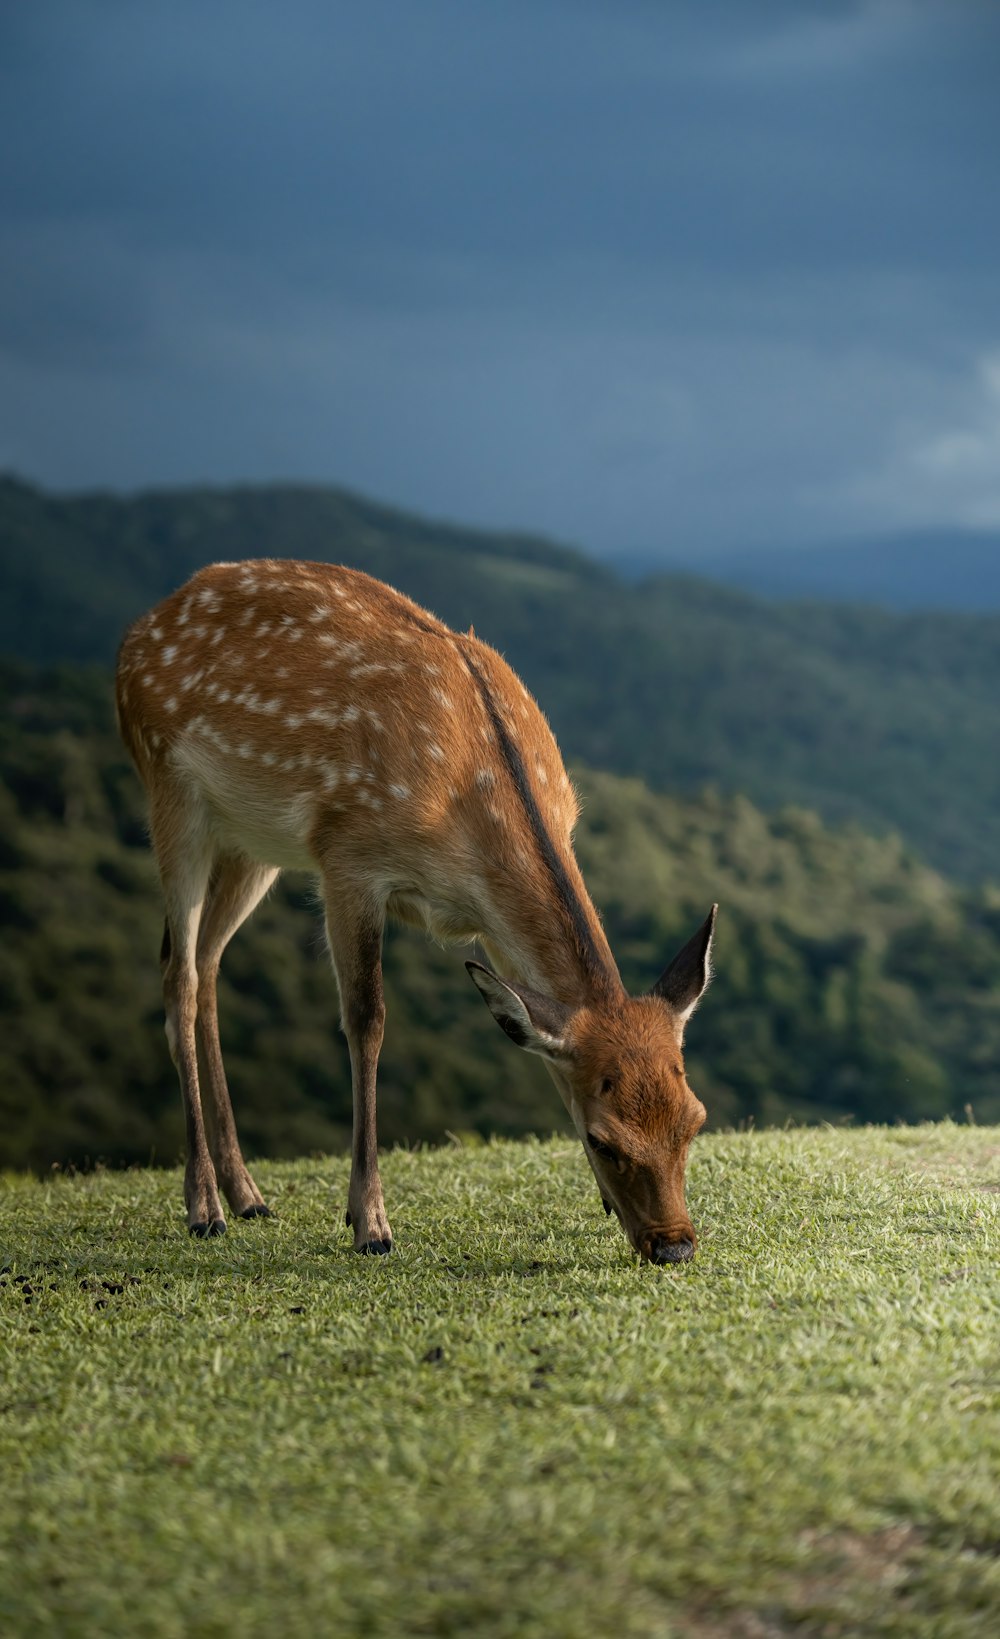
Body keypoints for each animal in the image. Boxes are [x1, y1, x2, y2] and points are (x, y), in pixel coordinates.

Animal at [113, 557, 711, 1258]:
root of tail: (136, 634)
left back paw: (248, 1195)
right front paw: (369, 1222)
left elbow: (536, 1033)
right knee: (176, 971)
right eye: (604, 1140)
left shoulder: (490, 924)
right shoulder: (348, 858)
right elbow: (367, 1020)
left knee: (206, 962)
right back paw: (204, 1205)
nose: (674, 1244)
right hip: (170, 789)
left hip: (253, 841)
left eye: (694, 1120)